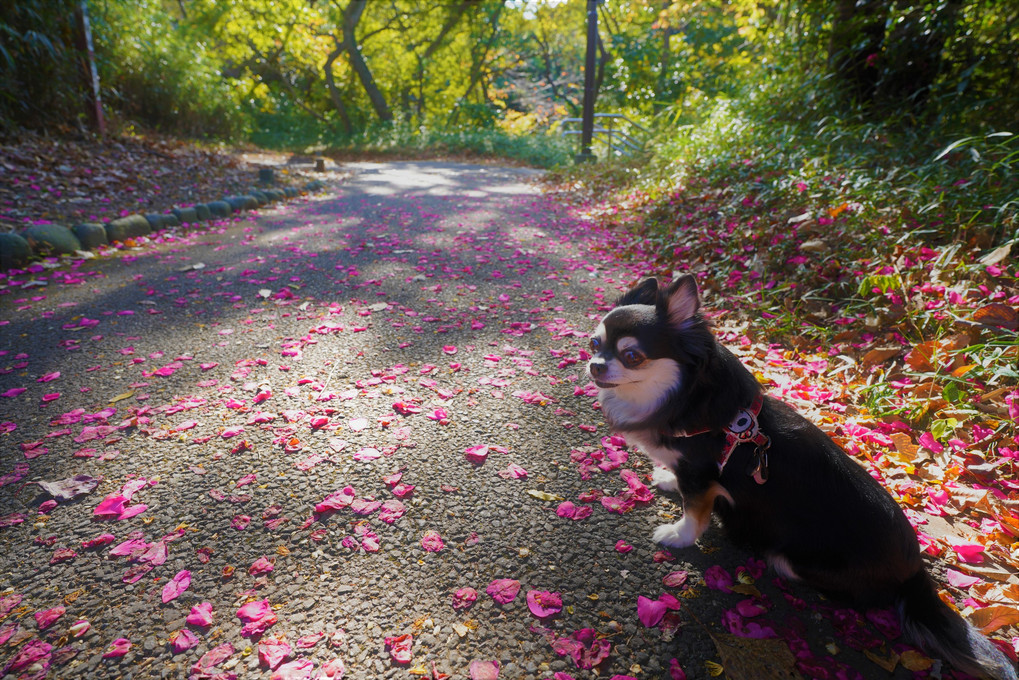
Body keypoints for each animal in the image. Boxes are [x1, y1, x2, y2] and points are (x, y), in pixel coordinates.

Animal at [586, 277, 1014, 680]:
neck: (682, 401)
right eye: (594, 343)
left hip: (793, 560)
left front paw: (678, 536)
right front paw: (666, 479)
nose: (594, 365)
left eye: (632, 356)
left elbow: (695, 511)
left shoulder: (702, 475)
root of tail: (916, 573)